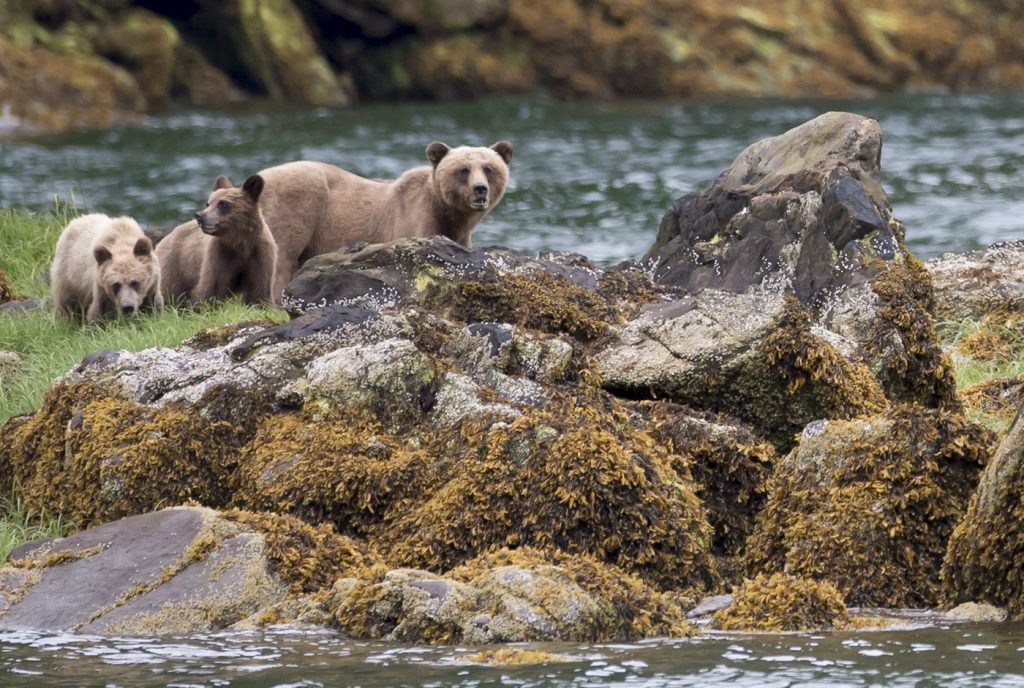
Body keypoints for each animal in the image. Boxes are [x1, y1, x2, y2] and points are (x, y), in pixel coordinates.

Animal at [256, 142, 512, 294]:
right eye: (463, 170)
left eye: (489, 168)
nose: (480, 189)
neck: (450, 214)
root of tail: (260, 176)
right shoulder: (415, 219)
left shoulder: (461, 235)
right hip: (298, 205)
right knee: (283, 257)